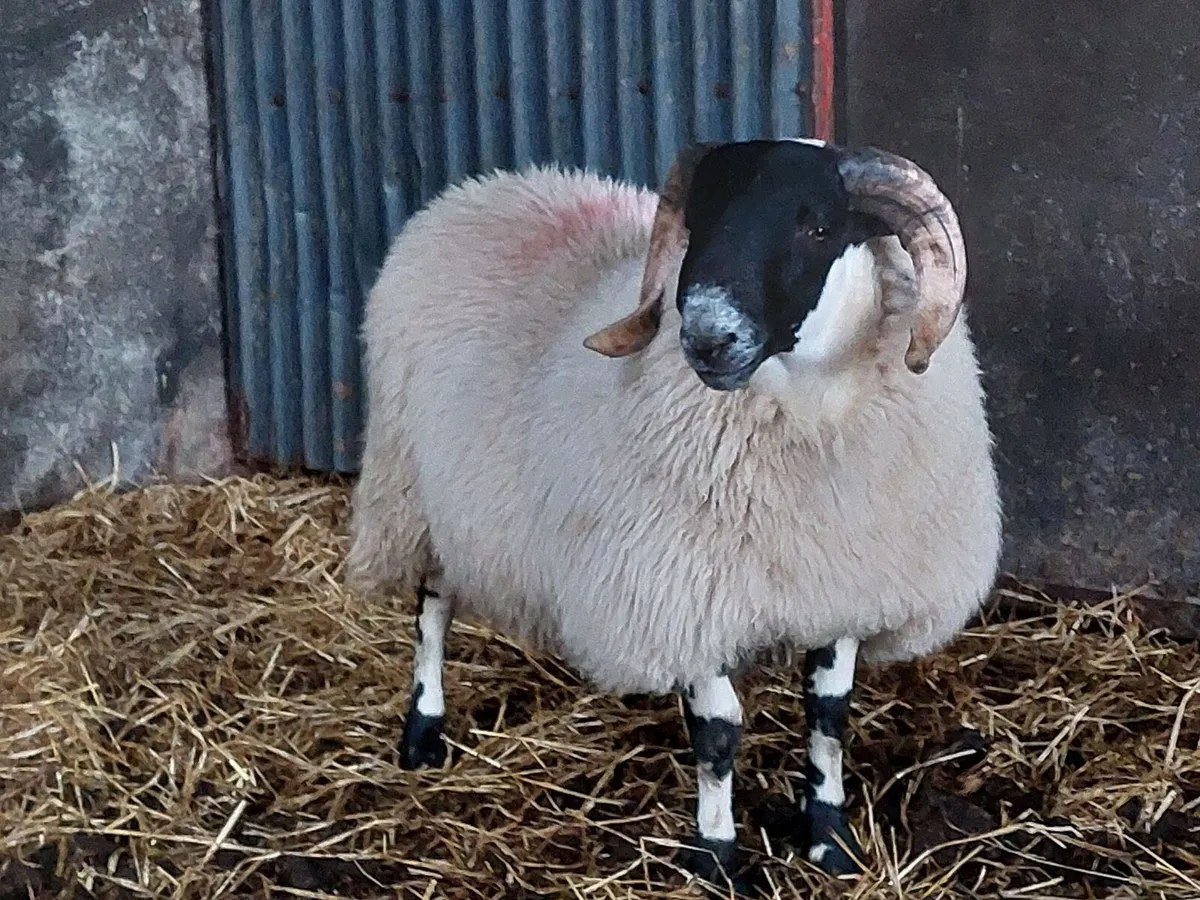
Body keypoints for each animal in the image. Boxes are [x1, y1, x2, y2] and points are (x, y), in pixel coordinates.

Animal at [346, 138, 1002, 886]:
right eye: (700, 222)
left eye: (817, 227)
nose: (707, 339)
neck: (806, 419)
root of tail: (484, 186)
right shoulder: (684, 593)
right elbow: (718, 733)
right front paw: (717, 858)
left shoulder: (839, 590)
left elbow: (829, 716)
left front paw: (829, 840)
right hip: (417, 489)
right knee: (431, 609)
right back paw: (423, 732)